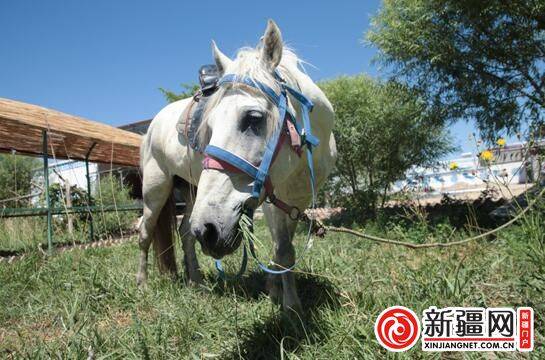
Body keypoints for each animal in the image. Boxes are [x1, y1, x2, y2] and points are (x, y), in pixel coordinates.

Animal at [137, 20, 336, 312]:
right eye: (208, 127)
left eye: (253, 118)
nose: (208, 231)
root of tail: (154, 123)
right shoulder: (272, 198)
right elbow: (284, 249)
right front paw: (291, 308)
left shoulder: (293, 201)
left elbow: (281, 247)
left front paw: (275, 291)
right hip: (156, 188)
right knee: (145, 232)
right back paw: (143, 283)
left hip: (191, 192)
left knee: (186, 233)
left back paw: (197, 281)